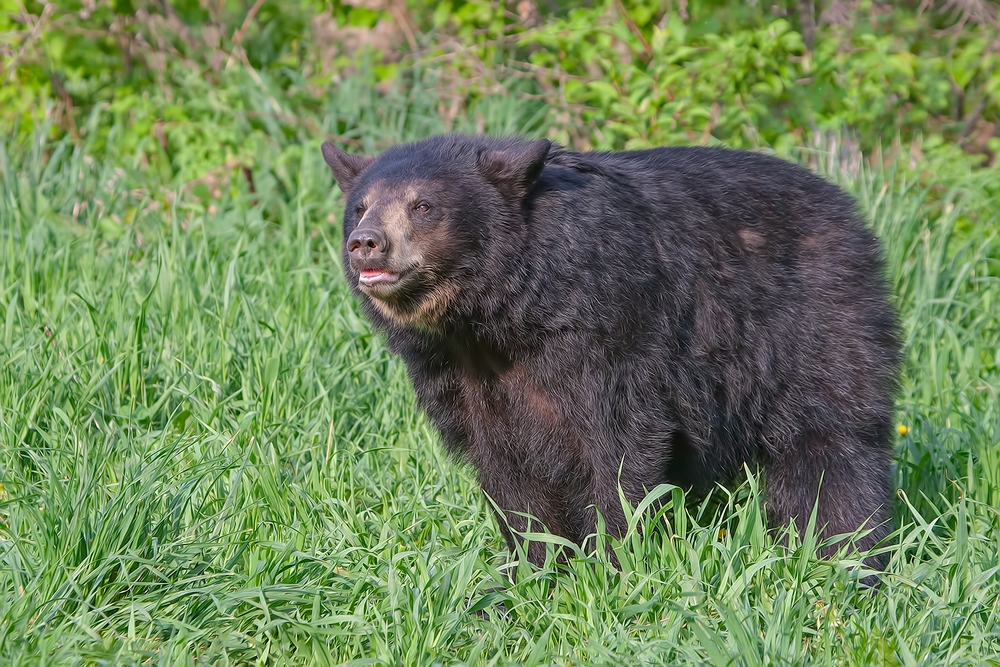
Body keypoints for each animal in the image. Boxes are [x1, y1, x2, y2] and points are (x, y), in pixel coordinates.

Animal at [324, 134, 904, 576]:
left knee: (831, 441)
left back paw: (842, 554)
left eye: (423, 205)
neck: (500, 316)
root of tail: (846, 207)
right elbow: (506, 466)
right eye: (360, 206)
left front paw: (611, 561)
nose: (366, 242)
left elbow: (623, 442)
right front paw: (533, 570)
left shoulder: (610, 327)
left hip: (814, 320)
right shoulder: (457, 372)